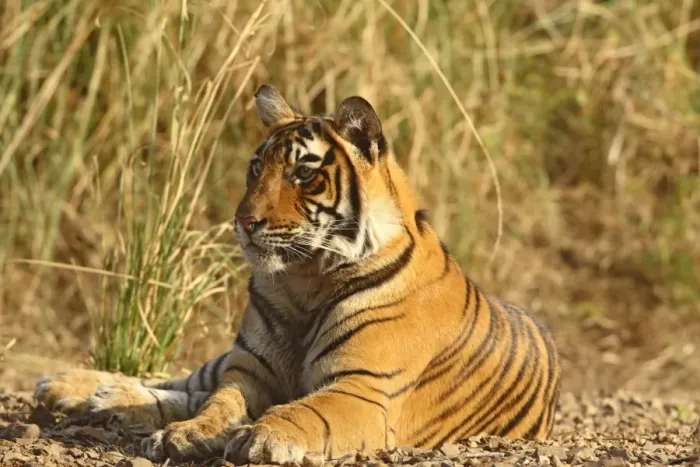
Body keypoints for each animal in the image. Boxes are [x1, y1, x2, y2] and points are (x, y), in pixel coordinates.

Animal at [34, 84, 561, 465]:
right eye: (255, 168)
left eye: (303, 175)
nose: (244, 221)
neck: (307, 278)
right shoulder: (249, 370)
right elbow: (214, 404)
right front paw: (185, 435)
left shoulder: (363, 389)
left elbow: (307, 409)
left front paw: (262, 435)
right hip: (227, 359)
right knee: (188, 380)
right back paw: (75, 387)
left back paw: (102, 398)